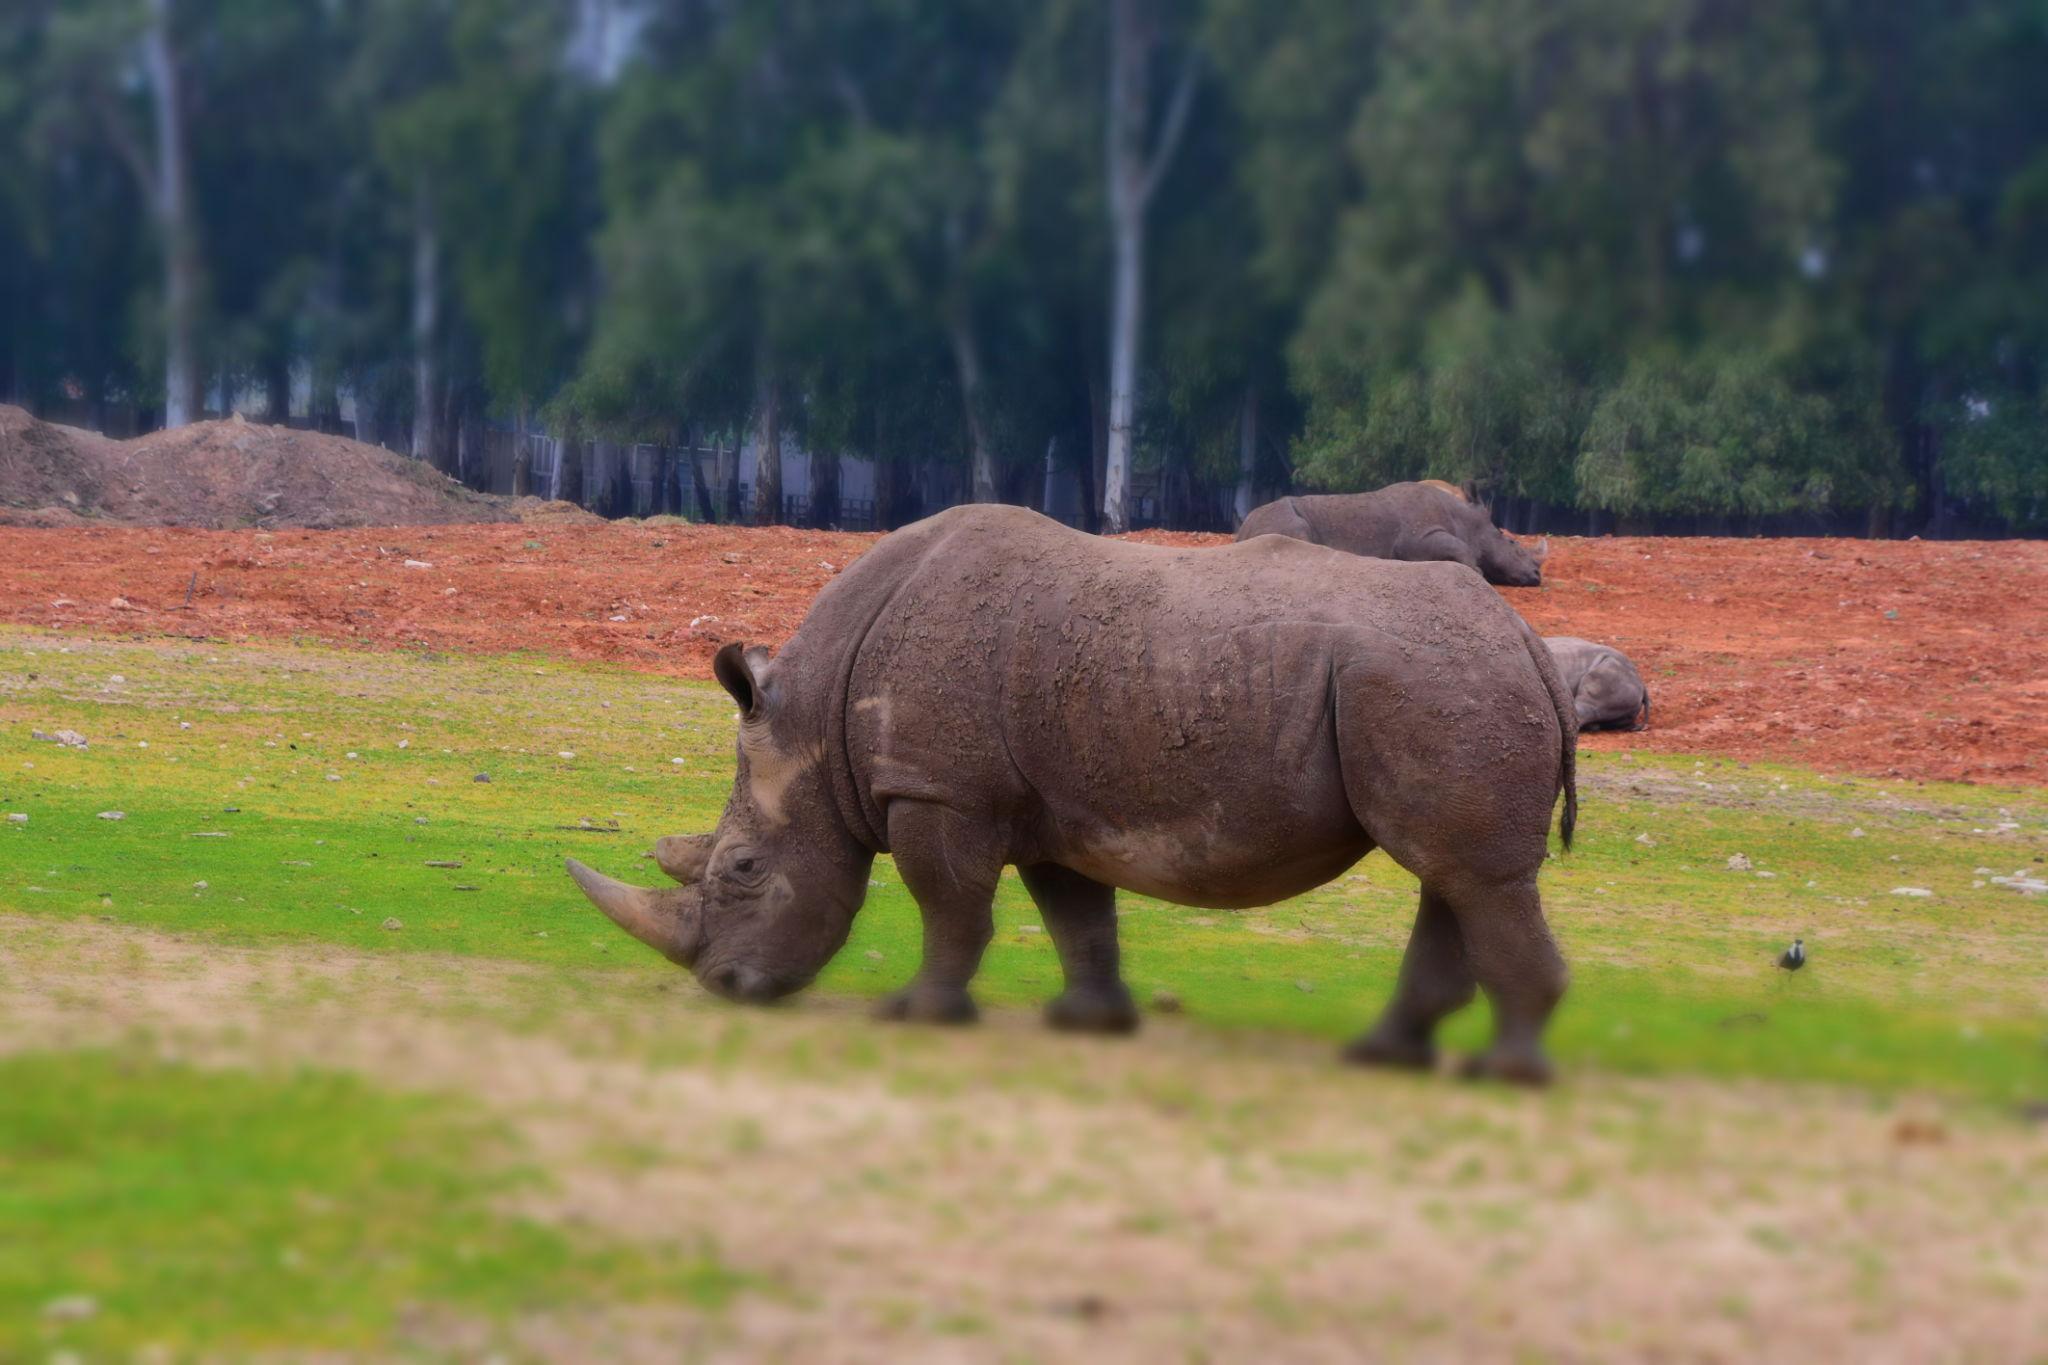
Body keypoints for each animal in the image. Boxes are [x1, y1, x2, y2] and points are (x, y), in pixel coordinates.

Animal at [568, 505, 1578, 1084]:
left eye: (742, 867)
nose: (726, 986)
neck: (815, 719)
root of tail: (1529, 641)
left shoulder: (939, 791)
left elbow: (950, 908)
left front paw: (917, 1014)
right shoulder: (1048, 805)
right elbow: (1076, 917)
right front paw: (1088, 1024)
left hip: (1432, 682)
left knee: (1472, 876)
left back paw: (1502, 1075)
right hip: (1434, 683)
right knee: (1452, 874)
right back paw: (1385, 1057)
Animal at [1236, 482, 1548, 587]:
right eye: (1513, 543)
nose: (1536, 575)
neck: (1467, 520)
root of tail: (1241, 531)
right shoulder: (1417, 538)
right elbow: (1464, 551)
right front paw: (1477, 573)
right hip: (1285, 519)